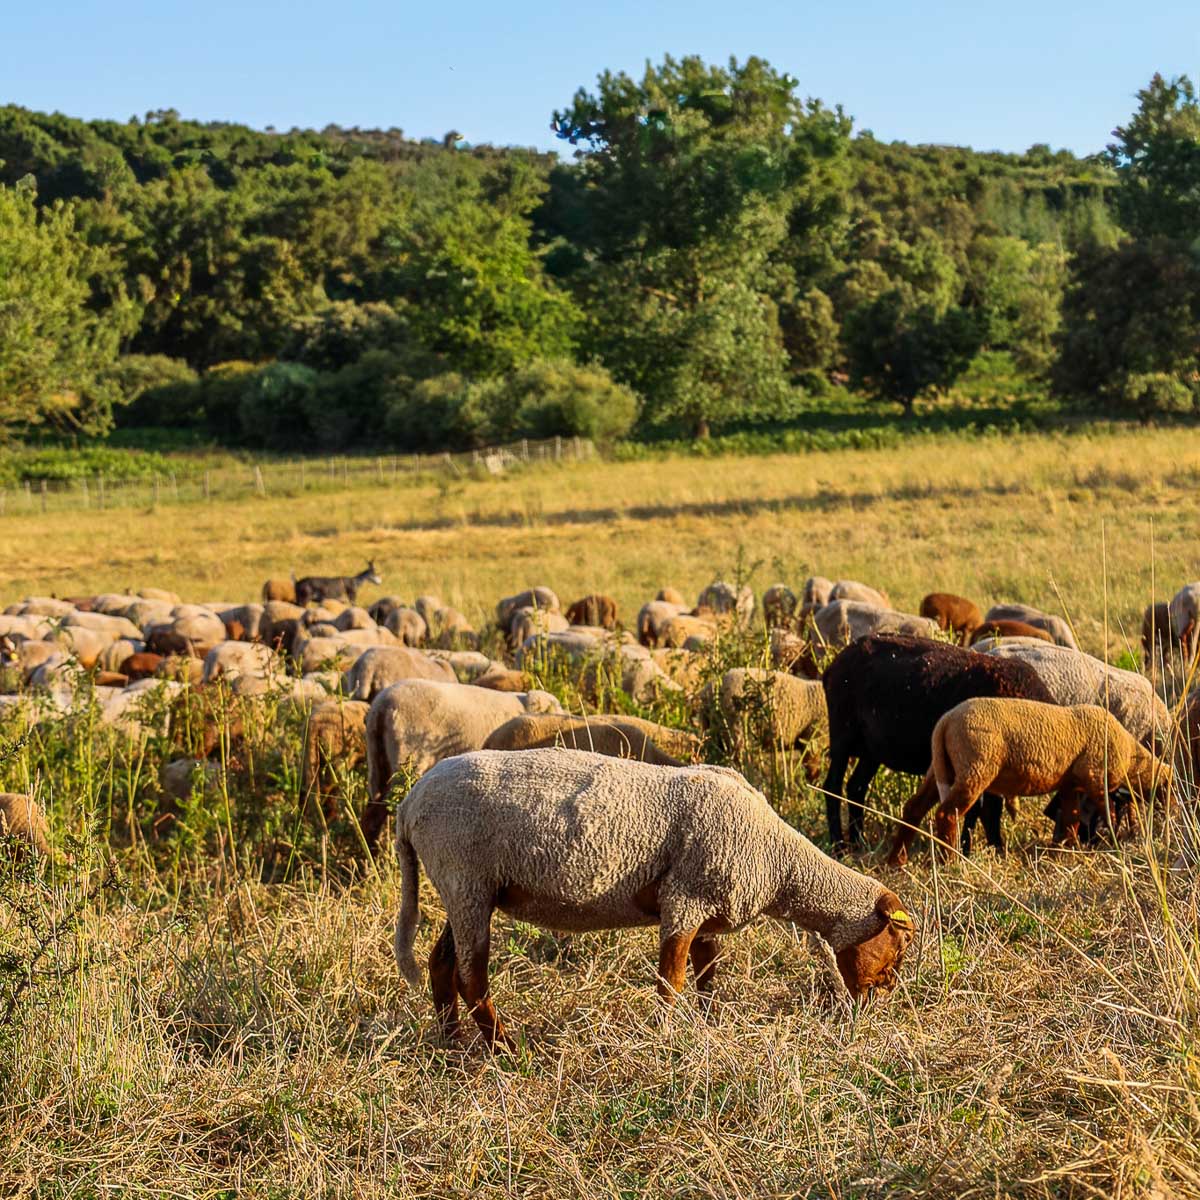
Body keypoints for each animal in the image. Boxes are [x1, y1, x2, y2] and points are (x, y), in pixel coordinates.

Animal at [393, 749, 916, 1046]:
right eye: (898, 945)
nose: (883, 997)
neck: (780, 863)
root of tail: (410, 803)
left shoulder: (709, 908)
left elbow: (707, 975)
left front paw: (707, 1026)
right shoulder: (683, 900)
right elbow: (672, 981)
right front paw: (664, 1037)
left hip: (463, 889)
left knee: (442, 963)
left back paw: (452, 1045)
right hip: (465, 876)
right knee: (471, 977)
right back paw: (502, 1049)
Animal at [819, 634, 1056, 856]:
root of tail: (834, 665)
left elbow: (987, 809)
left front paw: (991, 848)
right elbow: (980, 809)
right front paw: (971, 849)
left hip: (872, 749)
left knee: (856, 786)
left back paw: (859, 842)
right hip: (842, 736)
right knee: (832, 786)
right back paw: (839, 846)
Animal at [921, 699, 1172, 854]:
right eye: (1169, 788)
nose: (1172, 816)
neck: (1130, 755)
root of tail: (945, 721)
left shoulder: (1072, 785)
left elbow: (1071, 819)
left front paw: (1067, 851)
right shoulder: (1095, 779)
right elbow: (1108, 814)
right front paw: (1112, 840)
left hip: (946, 769)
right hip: (974, 770)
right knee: (946, 814)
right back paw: (949, 860)